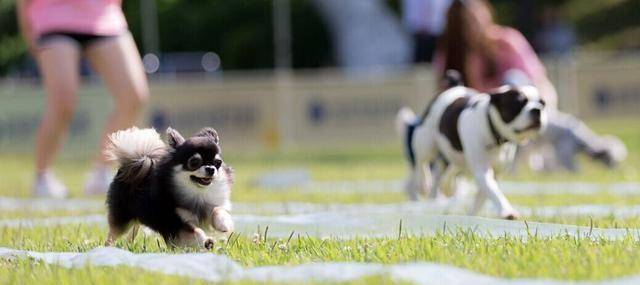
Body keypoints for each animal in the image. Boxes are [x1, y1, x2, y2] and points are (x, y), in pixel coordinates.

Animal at [104, 125, 234, 247]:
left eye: (218, 163)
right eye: (194, 162)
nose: (211, 169)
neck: (197, 193)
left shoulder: (209, 207)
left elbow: (217, 210)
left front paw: (223, 223)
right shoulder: (174, 221)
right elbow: (195, 231)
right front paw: (206, 242)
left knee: (132, 231)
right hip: (123, 218)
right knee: (113, 234)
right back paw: (108, 248)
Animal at [398, 72, 548, 217]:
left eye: (542, 103)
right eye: (518, 103)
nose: (537, 109)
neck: (494, 132)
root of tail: (454, 86)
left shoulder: (495, 173)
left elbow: (483, 196)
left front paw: (472, 215)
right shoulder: (482, 170)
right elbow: (494, 191)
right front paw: (507, 211)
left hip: (451, 158)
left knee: (440, 174)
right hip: (425, 141)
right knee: (421, 163)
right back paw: (423, 183)